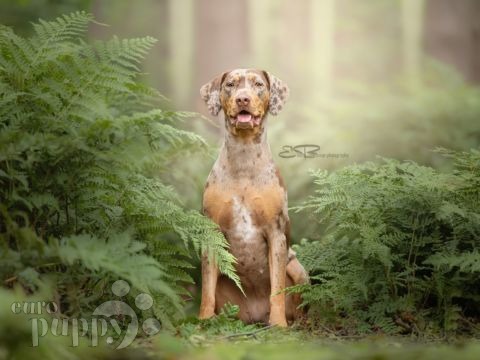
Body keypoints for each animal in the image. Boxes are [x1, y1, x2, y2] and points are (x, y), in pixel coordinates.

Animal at [198, 67, 308, 326]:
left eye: (258, 84)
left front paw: (279, 325)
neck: (244, 157)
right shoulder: (211, 232)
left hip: (298, 269)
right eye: (230, 84)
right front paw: (203, 321)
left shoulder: (276, 233)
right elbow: (206, 287)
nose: (242, 99)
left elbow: (277, 288)